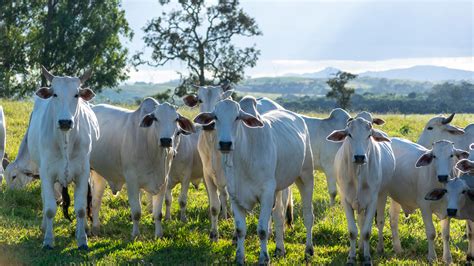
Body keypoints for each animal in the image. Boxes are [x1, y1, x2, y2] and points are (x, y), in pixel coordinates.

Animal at [27, 66, 99, 249]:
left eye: (76, 94)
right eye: (55, 94)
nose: (65, 122)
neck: (65, 141)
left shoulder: (82, 174)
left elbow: (81, 209)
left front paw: (82, 239)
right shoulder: (46, 174)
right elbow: (50, 209)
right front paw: (48, 240)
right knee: (45, 200)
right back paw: (44, 226)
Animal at [89, 98, 194, 239]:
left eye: (176, 119)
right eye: (155, 118)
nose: (166, 140)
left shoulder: (163, 182)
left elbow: (158, 213)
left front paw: (159, 235)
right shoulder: (132, 182)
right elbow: (136, 212)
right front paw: (135, 234)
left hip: (99, 174)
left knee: (96, 201)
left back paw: (96, 228)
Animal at [193, 99, 314, 264]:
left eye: (237, 117)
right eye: (216, 117)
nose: (225, 144)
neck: (245, 156)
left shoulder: (266, 194)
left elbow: (262, 230)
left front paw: (263, 258)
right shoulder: (235, 196)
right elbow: (240, 230)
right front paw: (239, 257)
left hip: (306, 176)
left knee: (308, 215)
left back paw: (308, 250)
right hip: (278, 188)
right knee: (279, 216)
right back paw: (280, 249)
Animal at [328, 117, 394, 264]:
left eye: (369, 135)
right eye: (349, 135)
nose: (359, 157)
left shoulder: (372, 201)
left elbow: (366, 232)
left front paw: (367, 258)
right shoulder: (346, 200)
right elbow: (353, 231)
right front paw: (351, 257)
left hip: (383, 195)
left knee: (379, 222)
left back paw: (378, 248)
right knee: (361, 222)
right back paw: (360, 248)